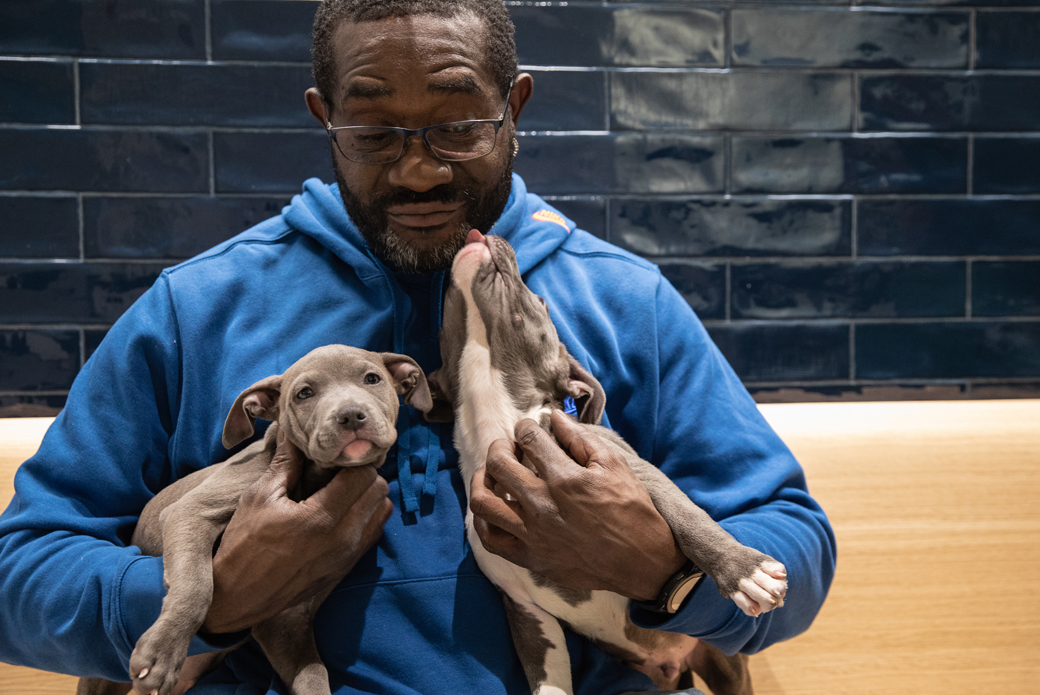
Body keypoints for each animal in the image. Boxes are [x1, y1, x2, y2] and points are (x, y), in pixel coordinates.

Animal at [79, 345, 430, 695]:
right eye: (304, 393)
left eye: (372, 379)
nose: (351, 415)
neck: (316, 479)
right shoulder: (189, 511)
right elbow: (197, 584)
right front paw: (162, 651)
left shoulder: (287, 620)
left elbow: (315, 676)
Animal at [428, 232, 786, 695]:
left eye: (540, 301)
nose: (480, 235)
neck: (500, 428)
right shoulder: (526, 612)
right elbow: (547, 679)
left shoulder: (631, 469)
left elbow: (687, 516)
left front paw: (745, 571)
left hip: (725, 664)